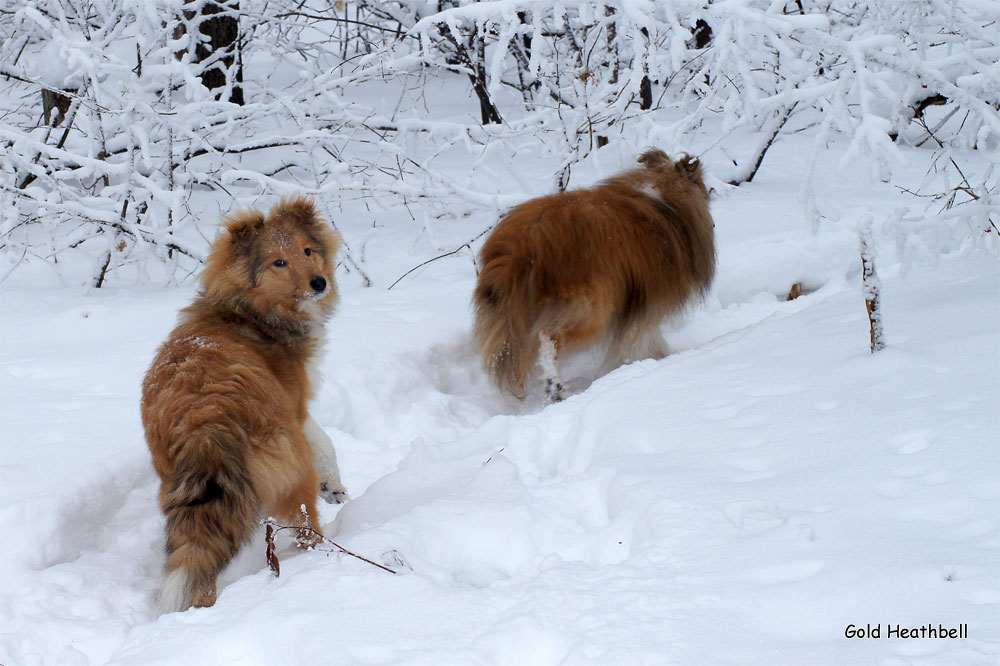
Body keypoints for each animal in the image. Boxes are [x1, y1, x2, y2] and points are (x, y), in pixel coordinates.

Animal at [142, 195, 348, 608]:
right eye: (279, 262)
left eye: (307, 250)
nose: (319, 283)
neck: (247, 311)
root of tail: (204, 419)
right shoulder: (296, 409)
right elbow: (324, 442)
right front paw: (333, 486)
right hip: (292, 471)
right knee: (306, 530)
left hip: (186, 491)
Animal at [472, 149, 716, 400]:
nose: (714, 223)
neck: (664, 196)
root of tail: (526, 242)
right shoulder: (645, 304)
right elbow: (642, 336)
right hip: (594, 308)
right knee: (548, 337)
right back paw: (555, 385)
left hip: (515, 312)